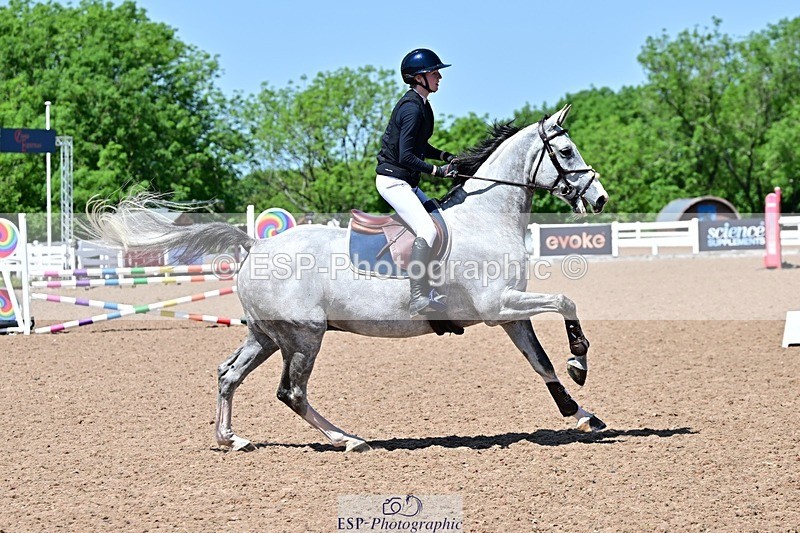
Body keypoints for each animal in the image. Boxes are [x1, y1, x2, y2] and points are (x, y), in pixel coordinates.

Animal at [86, 103, 609, 452]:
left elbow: (541, 363)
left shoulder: (506, 311)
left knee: (229, 373)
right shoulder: (497, 305)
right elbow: (565, 301)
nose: (600, 198)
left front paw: (581, 412)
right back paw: (347, 438)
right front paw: (580, 362)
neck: (487, 218)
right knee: (291, 392)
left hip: (267, 335)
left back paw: (231, 438)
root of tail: (256, 246)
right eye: (566, 150)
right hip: (304, 334)